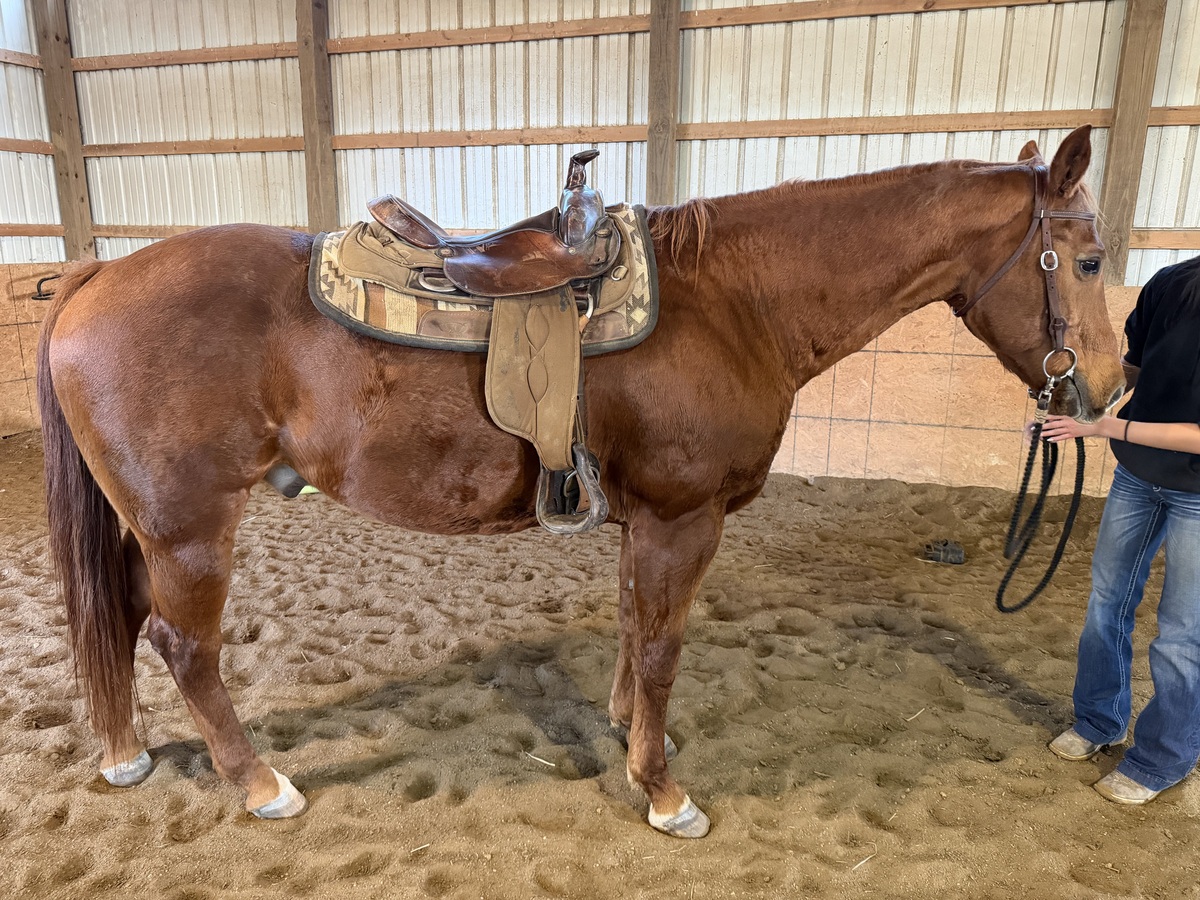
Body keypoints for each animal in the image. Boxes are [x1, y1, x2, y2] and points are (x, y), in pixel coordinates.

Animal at [37, 125, 1123, 838]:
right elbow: (664, 650)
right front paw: (661, 789)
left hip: (149, 527)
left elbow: (637, 629)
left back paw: (126, 751)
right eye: (1089, 258)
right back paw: (260, 783)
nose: (1109, 390)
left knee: (120, 617)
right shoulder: (683, 519)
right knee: (184, 646)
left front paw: (623, 731)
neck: (734, 300)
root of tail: (98, 277)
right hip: (189, 528)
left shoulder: (647, 522)